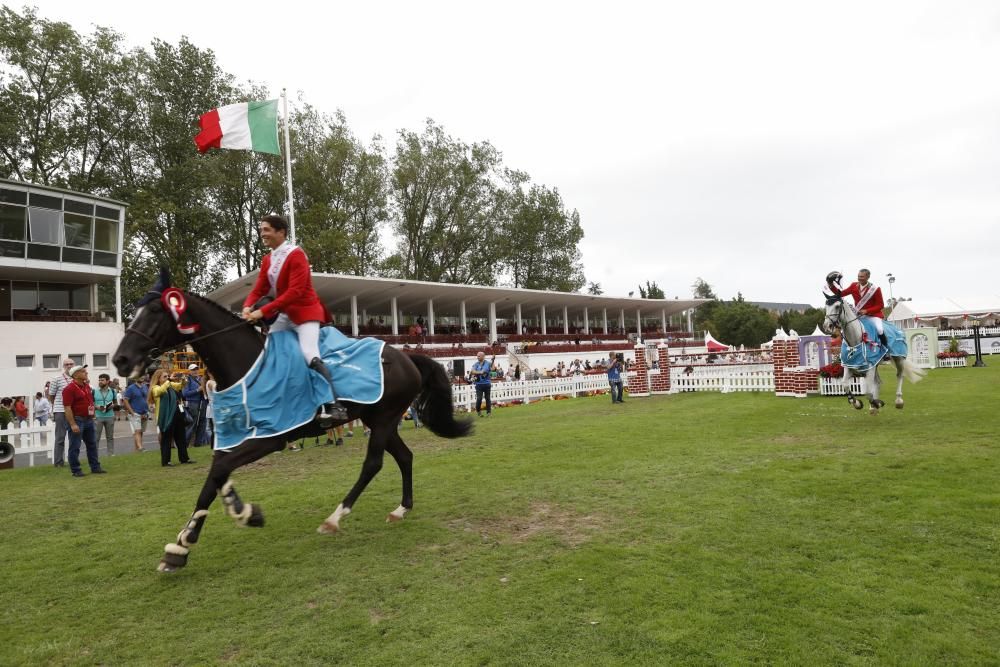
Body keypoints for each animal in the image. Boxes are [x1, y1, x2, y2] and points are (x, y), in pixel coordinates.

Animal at [111, 268, 470, 572]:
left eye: (155, 311)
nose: (120, 360)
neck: (248, 363)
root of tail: (405, 356)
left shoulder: (270, 438)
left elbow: (221, 471)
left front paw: (243, 513)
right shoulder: (230, 437)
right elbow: (213, 478)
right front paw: (180, 549)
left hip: (383, 420)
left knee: (373, 464)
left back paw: (335, 518)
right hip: (377, 418)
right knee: (404, 457)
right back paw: (401, 509)